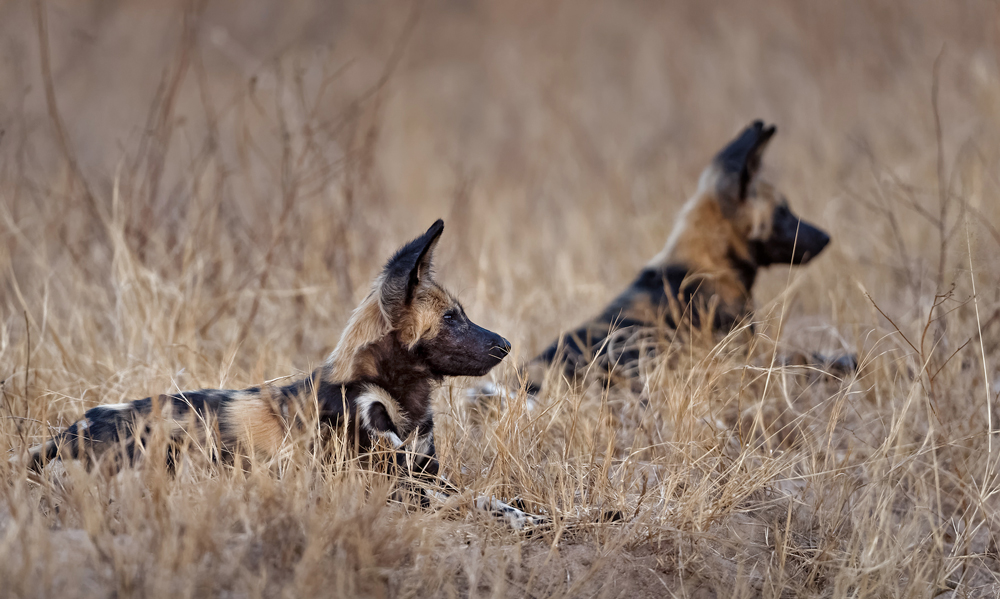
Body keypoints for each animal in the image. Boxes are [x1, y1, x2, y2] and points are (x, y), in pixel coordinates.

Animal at [17, 221, 548, 528]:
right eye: (452, 318)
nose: (506, 344)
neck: (399, 393)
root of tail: (65, 434)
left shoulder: (424, 472)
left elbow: (496, 497)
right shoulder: (389, 483)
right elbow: (480, 501)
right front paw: (533, 520)